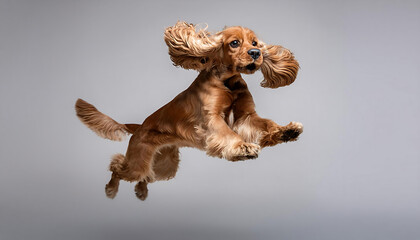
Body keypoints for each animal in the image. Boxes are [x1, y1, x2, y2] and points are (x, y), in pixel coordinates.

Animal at [75, 22, 304, 201]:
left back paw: (141, 191)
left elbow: (266, 123)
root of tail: (138, 127)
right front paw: (242, 148)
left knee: (148, 175)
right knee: (117, 167)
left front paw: (286, 130)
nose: (256, 54)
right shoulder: (212, 119)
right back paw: (110, 189)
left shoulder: (246, 116)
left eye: (255, 43)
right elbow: (228, 133)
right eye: (234, 43)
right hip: (138, 161)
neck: (228, 82)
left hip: (164, 163)